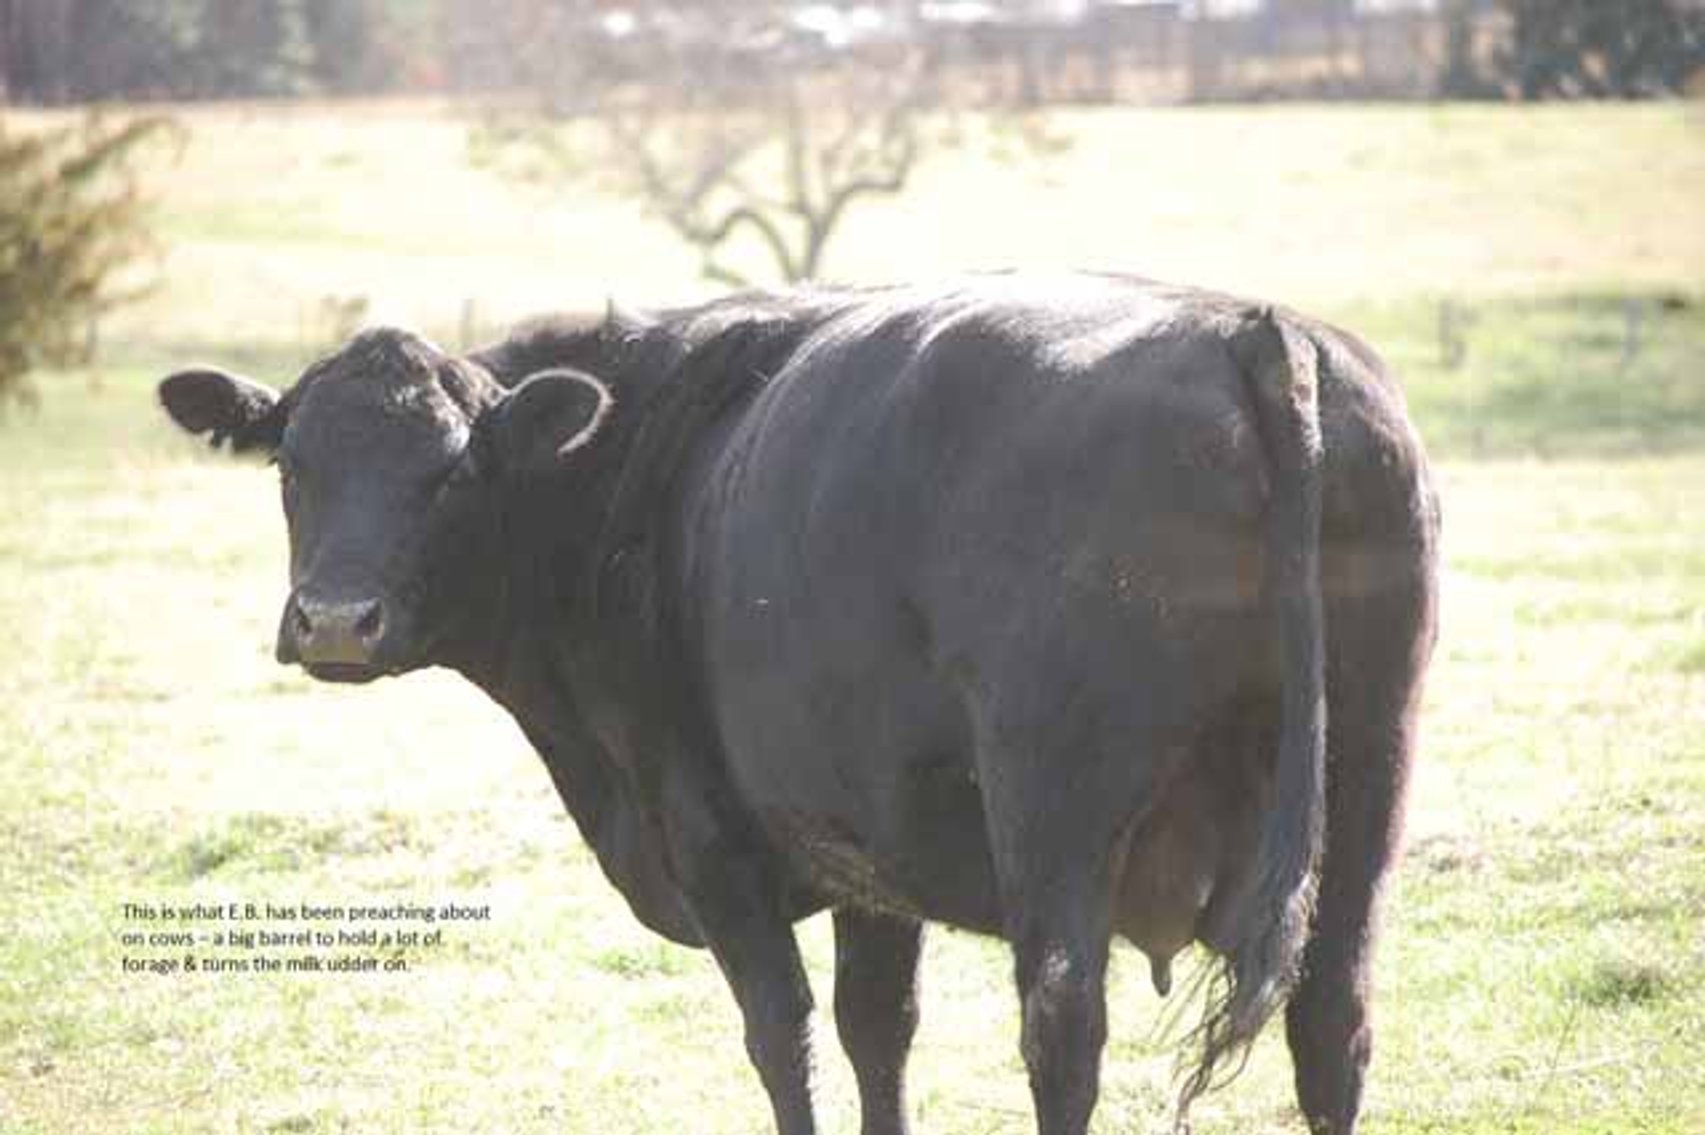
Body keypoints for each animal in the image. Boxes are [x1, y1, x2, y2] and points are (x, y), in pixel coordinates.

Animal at [156, 272, 1438, 1135]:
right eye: (291, 466)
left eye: (452, 471)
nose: (335, 620)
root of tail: (1248, 332)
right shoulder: (871, 846)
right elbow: (879, 1030)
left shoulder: (712, 837)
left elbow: (786, 1035)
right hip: (1367, 776)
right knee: (1334, 1018)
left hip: (1055, 806)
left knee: (1062, 1029)